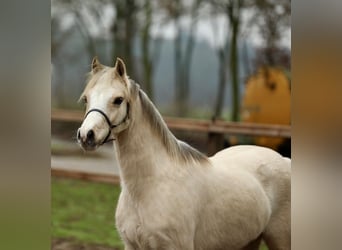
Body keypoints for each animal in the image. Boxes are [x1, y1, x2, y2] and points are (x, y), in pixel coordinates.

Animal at [78, 57, 292, 249]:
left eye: (118, 100)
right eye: (86, 99)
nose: (86, 135)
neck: (148, 187)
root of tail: (284, 159)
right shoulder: (131, 245)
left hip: (280, 239)